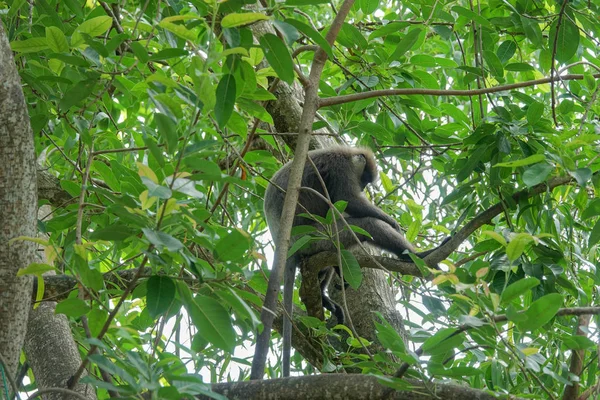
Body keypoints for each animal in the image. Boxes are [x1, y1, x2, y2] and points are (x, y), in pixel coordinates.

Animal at [262, 145, 440, 376]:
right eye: (363, 179)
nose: (364, 187)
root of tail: (285, 243)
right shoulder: (341, 169)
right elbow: (349, 200)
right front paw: (391, 222)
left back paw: (323, 294)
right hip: (318, 236)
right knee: (367, 224)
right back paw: (418, 256)